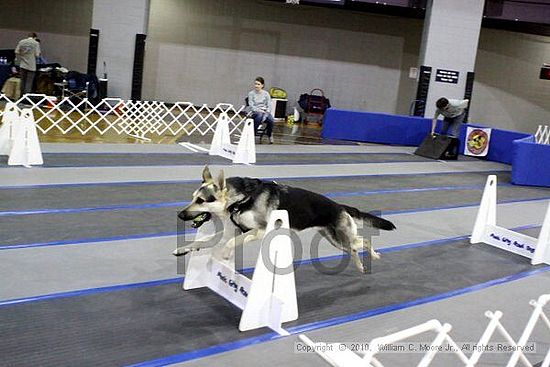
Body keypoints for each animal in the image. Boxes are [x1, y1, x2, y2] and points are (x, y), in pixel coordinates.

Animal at [175, 167, 394, 274]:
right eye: (192, 198)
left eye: (201, 201)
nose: (180, 215)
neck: (243, 197)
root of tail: (340, 206)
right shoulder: (234, 230)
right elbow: (203, 240)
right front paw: (183, 249)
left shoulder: (258, 231)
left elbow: (230, 243)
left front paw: (226, 254)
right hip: (336, 241)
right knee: (354, 249)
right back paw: (361, 266)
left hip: (343, 237)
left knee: (364, 242)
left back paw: (373, 257)